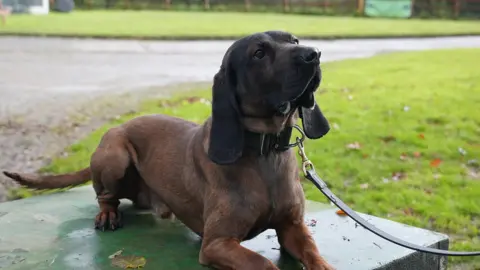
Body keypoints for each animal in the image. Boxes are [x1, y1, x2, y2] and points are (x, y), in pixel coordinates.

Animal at [2, 30, 334, 268]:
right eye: (259, 53)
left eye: (294, 41)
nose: (314, 54)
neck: (265, 150)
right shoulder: (216, 243)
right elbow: (264, 264)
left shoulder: (292, 226)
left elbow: (315, 255)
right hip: (115, 155)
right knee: (105, 197)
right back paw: (108, 214)